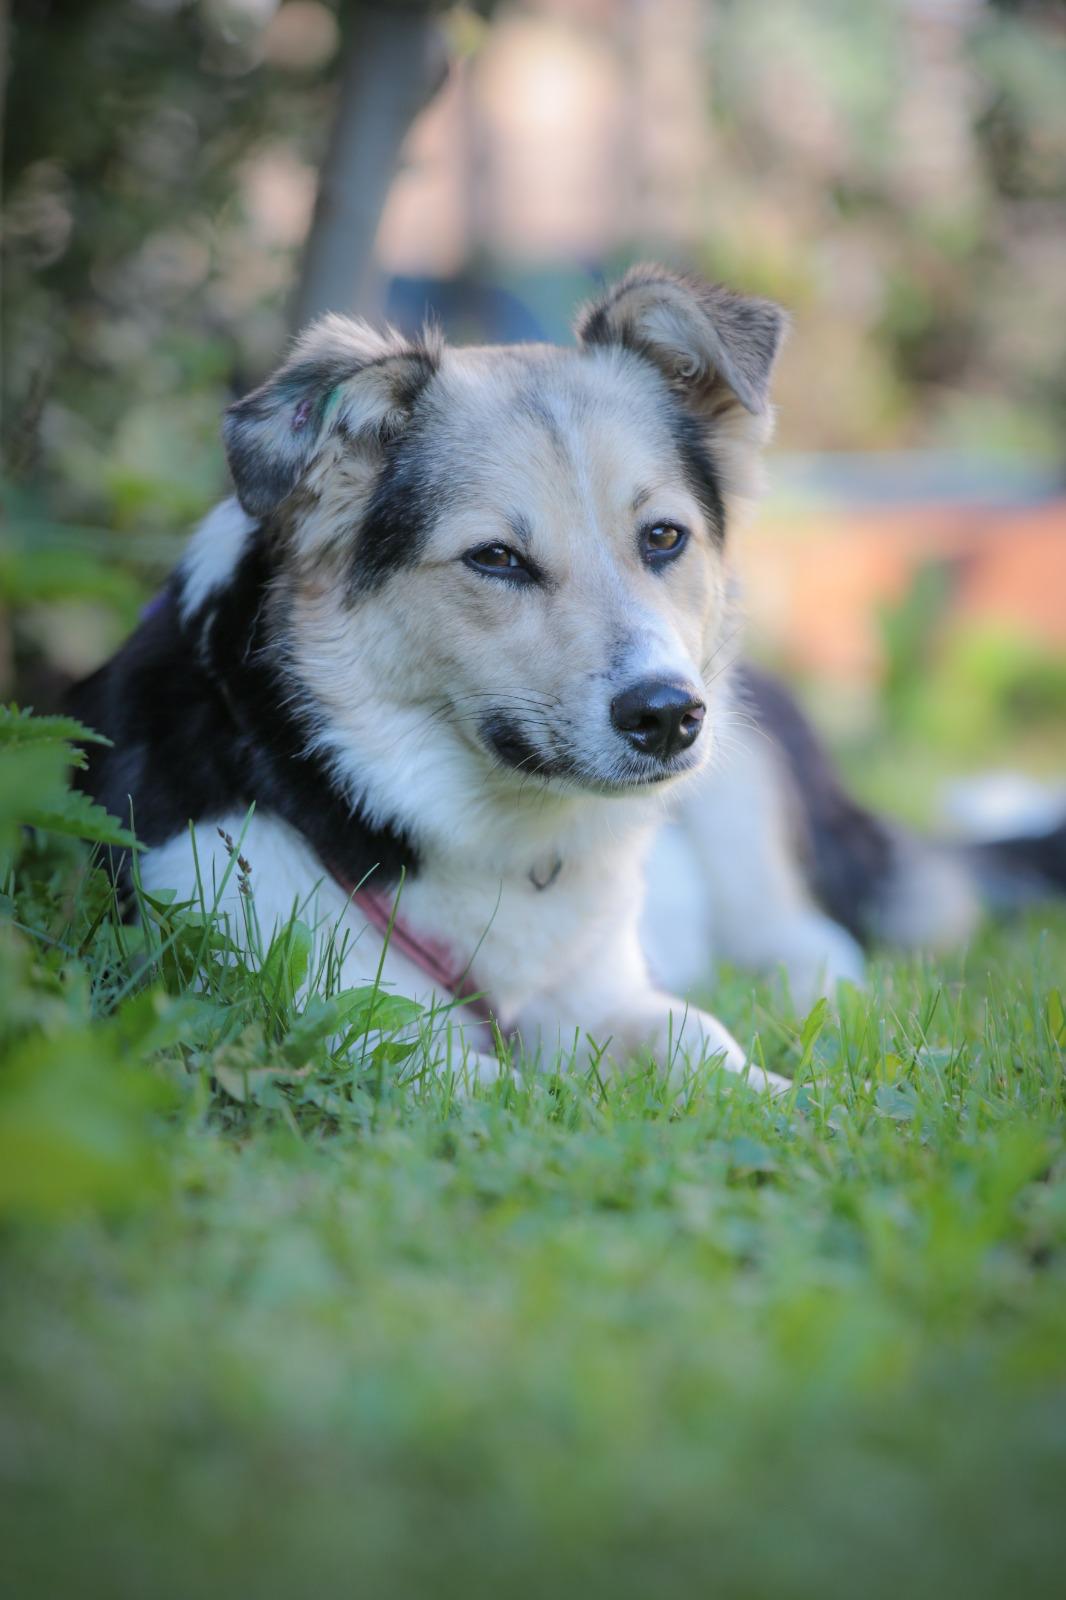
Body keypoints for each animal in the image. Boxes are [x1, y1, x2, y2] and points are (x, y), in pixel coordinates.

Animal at [69, 266, 1065, 1093]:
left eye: (663, 536)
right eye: (496, 558)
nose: (667, 717)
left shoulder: (605, 993)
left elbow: (705, 1040)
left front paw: (793, 1107)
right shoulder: (347, 1021)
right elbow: (499, 1089)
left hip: (744, 802)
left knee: (817, 947)